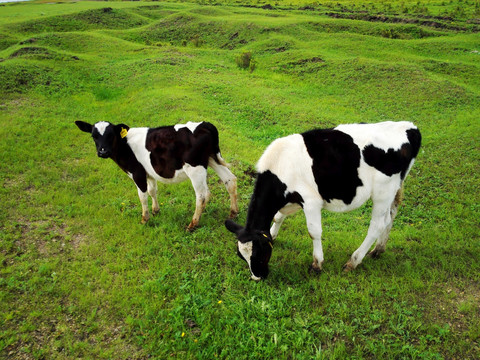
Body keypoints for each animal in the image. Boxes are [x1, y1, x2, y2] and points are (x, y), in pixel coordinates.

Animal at [75, 119, 238, 229]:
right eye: (94, 136)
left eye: (111, 135)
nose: (102, 152)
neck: (124, 145)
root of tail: (205, 124)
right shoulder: (150, 173)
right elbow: (153, 191)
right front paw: (155, 211)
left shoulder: (137, 173)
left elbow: (142, 196)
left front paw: (144, 219)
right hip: (212, 158)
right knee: (230, 180)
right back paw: (233, 212)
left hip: (195, 168)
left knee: (203, 195)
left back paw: (192, 224)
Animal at [225, 121, 420, 282]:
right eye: (241, 256)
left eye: (258, 253)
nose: (257, 277)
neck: (280, 166)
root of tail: (410, 127)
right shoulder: (291, 199)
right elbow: (278, 217)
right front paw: (273, 234)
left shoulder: (310, 201)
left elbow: (314, 232)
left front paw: (317, 264)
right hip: (395, 189)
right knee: (391, 217)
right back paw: (378, 250)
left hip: (382, 192)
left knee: (377, 225)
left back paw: (353, 261)